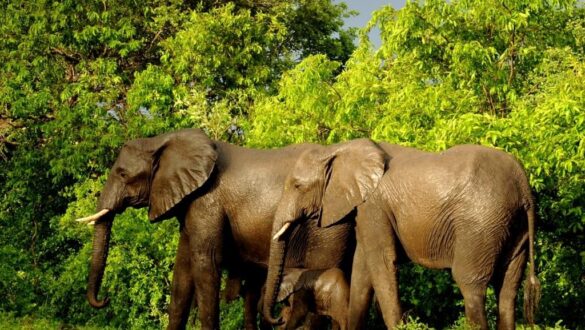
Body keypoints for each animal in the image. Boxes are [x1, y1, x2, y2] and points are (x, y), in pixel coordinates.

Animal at [75, 129, 384, 330]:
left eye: (123, 174)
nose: (104, 299)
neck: (163, 140)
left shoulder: (207, 203)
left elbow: (204, 264)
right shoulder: (192, 206)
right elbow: (182, 272)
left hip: (326, 227)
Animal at [266, 143, 540, 330]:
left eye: (298, 186)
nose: (278, 317)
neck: (339, 149)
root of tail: (523, 184)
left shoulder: (373, 207)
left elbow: (382, 264)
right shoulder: (365, 211)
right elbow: (362, 269)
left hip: (480, 223)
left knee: (471, 284)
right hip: (512, 226)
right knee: (508, 289)